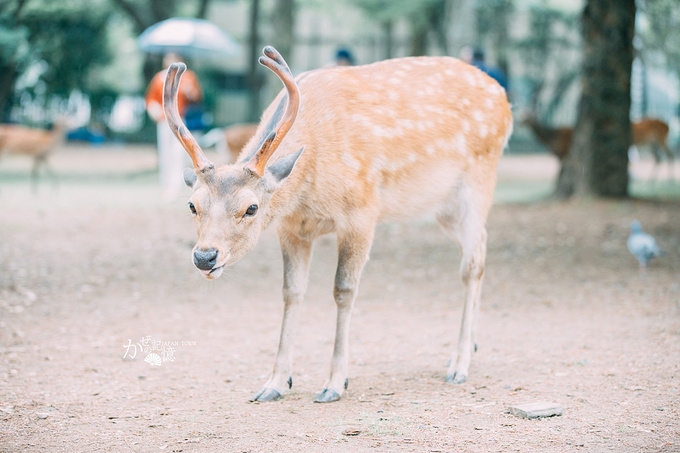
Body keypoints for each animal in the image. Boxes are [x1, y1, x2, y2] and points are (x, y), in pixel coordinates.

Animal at [165, 46, 512, 402]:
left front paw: (334, 382)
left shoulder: (361, 212)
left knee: (471, 264)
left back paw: (459, 363)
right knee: (480, 246)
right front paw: (275, 383)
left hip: (479, 182)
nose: (204, 256)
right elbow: (291, 291)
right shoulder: (291, 229)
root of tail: (503, 97)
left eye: (251, 208)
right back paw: (468, 348)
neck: (308, 189)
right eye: (192, 205)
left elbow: (343, 290)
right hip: (443, 208)